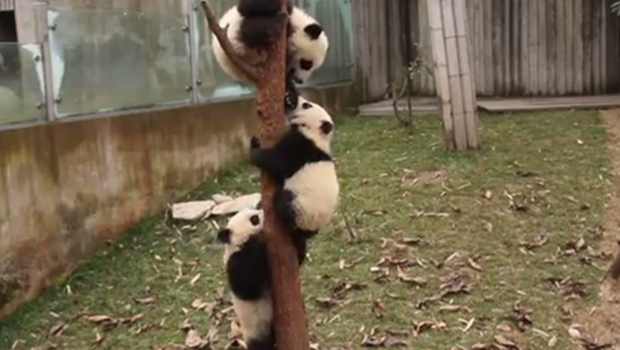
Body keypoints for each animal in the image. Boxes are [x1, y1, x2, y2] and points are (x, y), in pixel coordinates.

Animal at [217, 209, 308, 348]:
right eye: (254, 219)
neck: (237, 245)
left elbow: (297, 258)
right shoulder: (235, 262)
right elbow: (246, 288)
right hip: (256, 329)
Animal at [247, 100, 340, 250]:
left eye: (306, 105)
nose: (291, 99)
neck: (317, 134)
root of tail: (309, 229)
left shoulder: (301, 146)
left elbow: (277, 160)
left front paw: (255, 151)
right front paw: (255, 141)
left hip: (302, 208)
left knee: (285, 203)